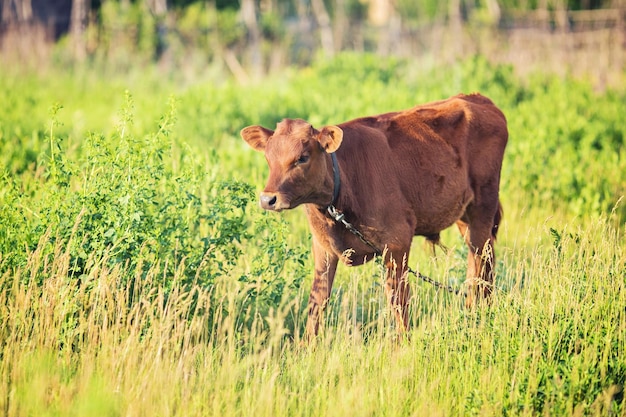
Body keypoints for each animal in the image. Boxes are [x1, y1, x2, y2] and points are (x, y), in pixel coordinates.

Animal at [240, 92, 508, 336]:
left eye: (303, 157)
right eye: (268, 157)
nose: (268, 199)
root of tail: (477, 98)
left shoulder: (398, 243)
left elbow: (398, 302)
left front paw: (403, 345)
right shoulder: (323, 248)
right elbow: (317, 301)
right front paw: (306, 348)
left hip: (483, 208)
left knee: (483, 263)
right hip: (464, 216)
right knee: (477, 264)